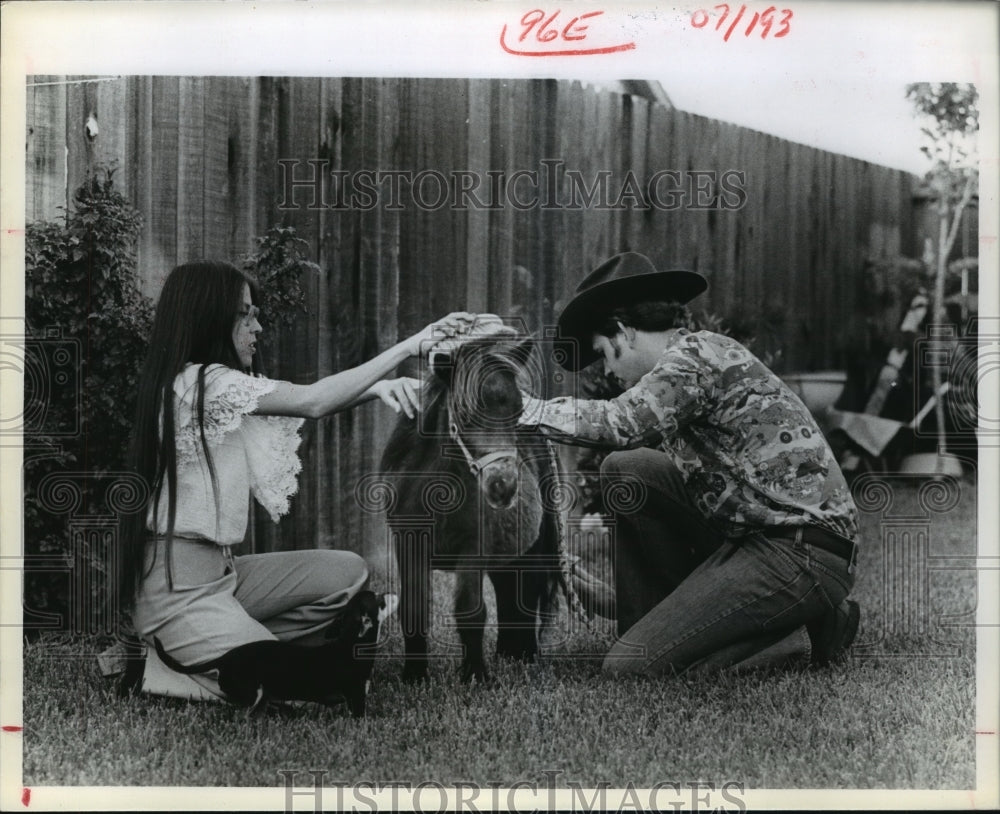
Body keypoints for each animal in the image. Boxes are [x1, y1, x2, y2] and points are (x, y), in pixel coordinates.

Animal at [378, 332, 564, 684]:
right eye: (464, 414)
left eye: (517, 412)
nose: (503, 485)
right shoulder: (408, 544)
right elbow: (413, 610)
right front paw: (415, 675)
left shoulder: (473, 548)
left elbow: (472, 611)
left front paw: (475, 675)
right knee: (507, 591)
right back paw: (508, 653)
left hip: (530, 551)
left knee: (526, 592)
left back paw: (525, 656)